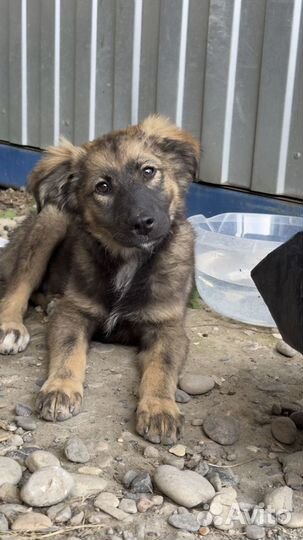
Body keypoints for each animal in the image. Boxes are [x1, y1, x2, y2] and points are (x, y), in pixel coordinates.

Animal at [0, 116, 201, 446]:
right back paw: (11, 327)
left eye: (149, 171)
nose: (143, 223)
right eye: (103, 187)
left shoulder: (168, 327)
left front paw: (160, 409)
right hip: (51, 220)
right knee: (19, 286)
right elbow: (69, 350)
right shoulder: (74, 313)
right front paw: (60, 388)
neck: (129, 261)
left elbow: (162, 368)